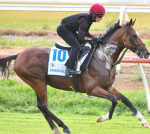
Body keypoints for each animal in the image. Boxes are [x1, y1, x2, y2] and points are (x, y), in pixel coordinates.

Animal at [0, 19, 150, 134]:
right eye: (135, 36)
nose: (146, 53)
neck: (103, 57)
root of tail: (19, 54)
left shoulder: (108, 86)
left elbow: (127, 100)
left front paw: (144, 121)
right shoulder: (92, 89)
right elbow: (114, 100)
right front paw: (102, 117)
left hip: (39, 83)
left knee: (41, 106)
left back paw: (56, 129)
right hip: (37, 82)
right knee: (44, 106)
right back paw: (64, 127)